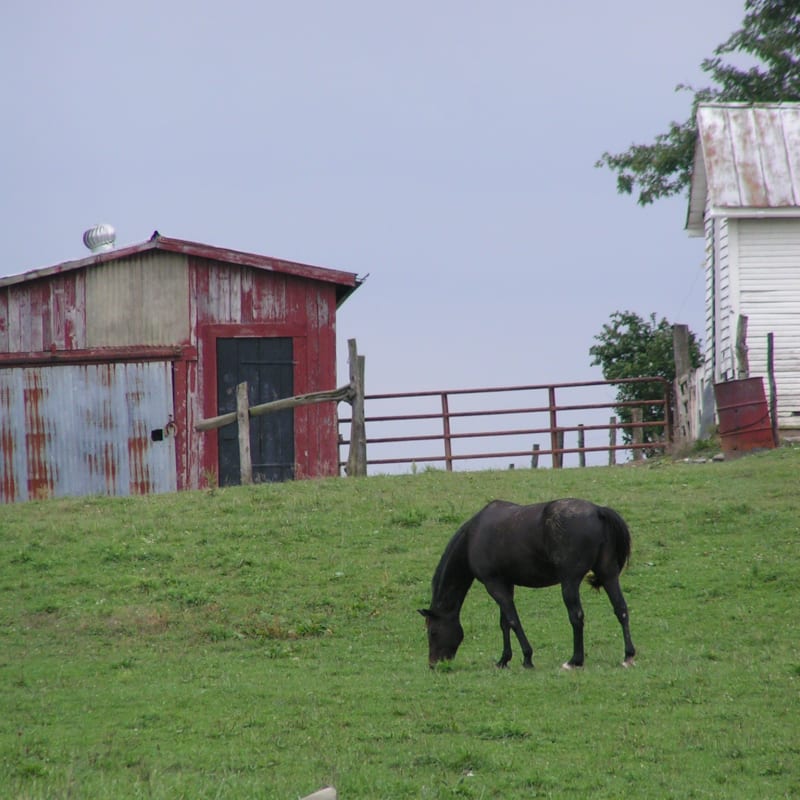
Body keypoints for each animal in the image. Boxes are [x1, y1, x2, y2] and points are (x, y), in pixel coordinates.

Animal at [418, 498, 636, 670]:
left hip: (570, 581)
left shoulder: (493, 584)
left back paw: (574, 660)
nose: (434, 664)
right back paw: (628, 656)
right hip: (608, 575)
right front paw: (503, 660)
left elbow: (513, 621)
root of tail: (598, 511)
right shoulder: (506, 584)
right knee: (621, 609)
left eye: (433, 632)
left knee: (577, 616)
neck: (473, 536)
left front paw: (527, 658)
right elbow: (504, 623)